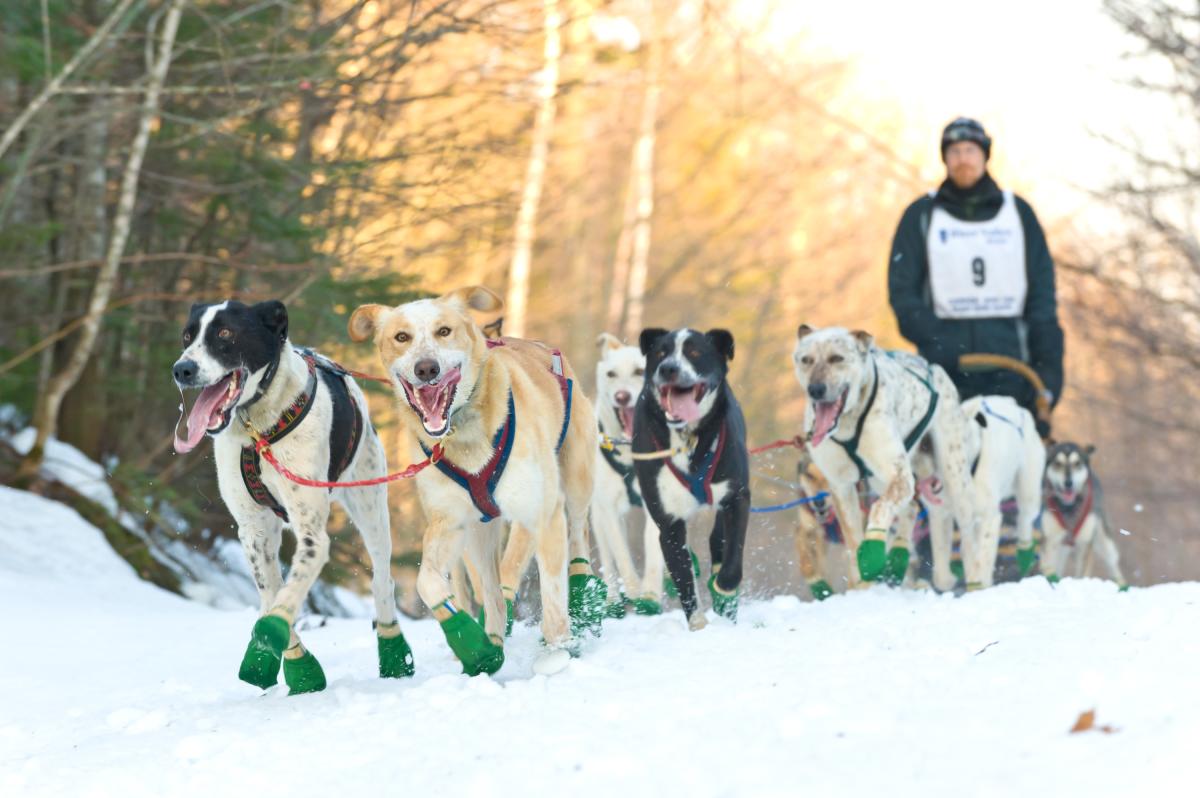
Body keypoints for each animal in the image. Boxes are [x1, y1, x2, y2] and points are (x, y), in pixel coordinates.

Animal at [169, 298, 412, 691]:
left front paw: (283, 648)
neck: (256, 431)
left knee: (382, 580)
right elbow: (272, 593)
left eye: (225, 333)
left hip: (371, 508)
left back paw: (394, 652)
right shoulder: (253, 531)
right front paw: (292, 662)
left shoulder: (312, 531)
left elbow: (291, 590)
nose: (182, 369)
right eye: (188, 336)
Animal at [350, 286, 604, 672]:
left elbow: (549, 591)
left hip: (576, 484)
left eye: (444, 331)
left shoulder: (540, 513)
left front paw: (558, 647)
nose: (426, 368)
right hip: (479, 531)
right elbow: (429, 582)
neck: (465, 435)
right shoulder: (451, 522)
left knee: (576, 539)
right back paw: (492, 641)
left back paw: (581, 601)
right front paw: (471, 642)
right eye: (401, 337)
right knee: (491, 590)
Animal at [633, 326, 744, 624]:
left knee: (718, 542)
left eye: (694, 352)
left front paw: (725, 584)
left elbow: (734, 551)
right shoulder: (668, 522)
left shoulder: (737, 497)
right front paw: (698, 625)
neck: (688, 437)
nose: (668, 368)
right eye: (661, 352)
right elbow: (683, 580)